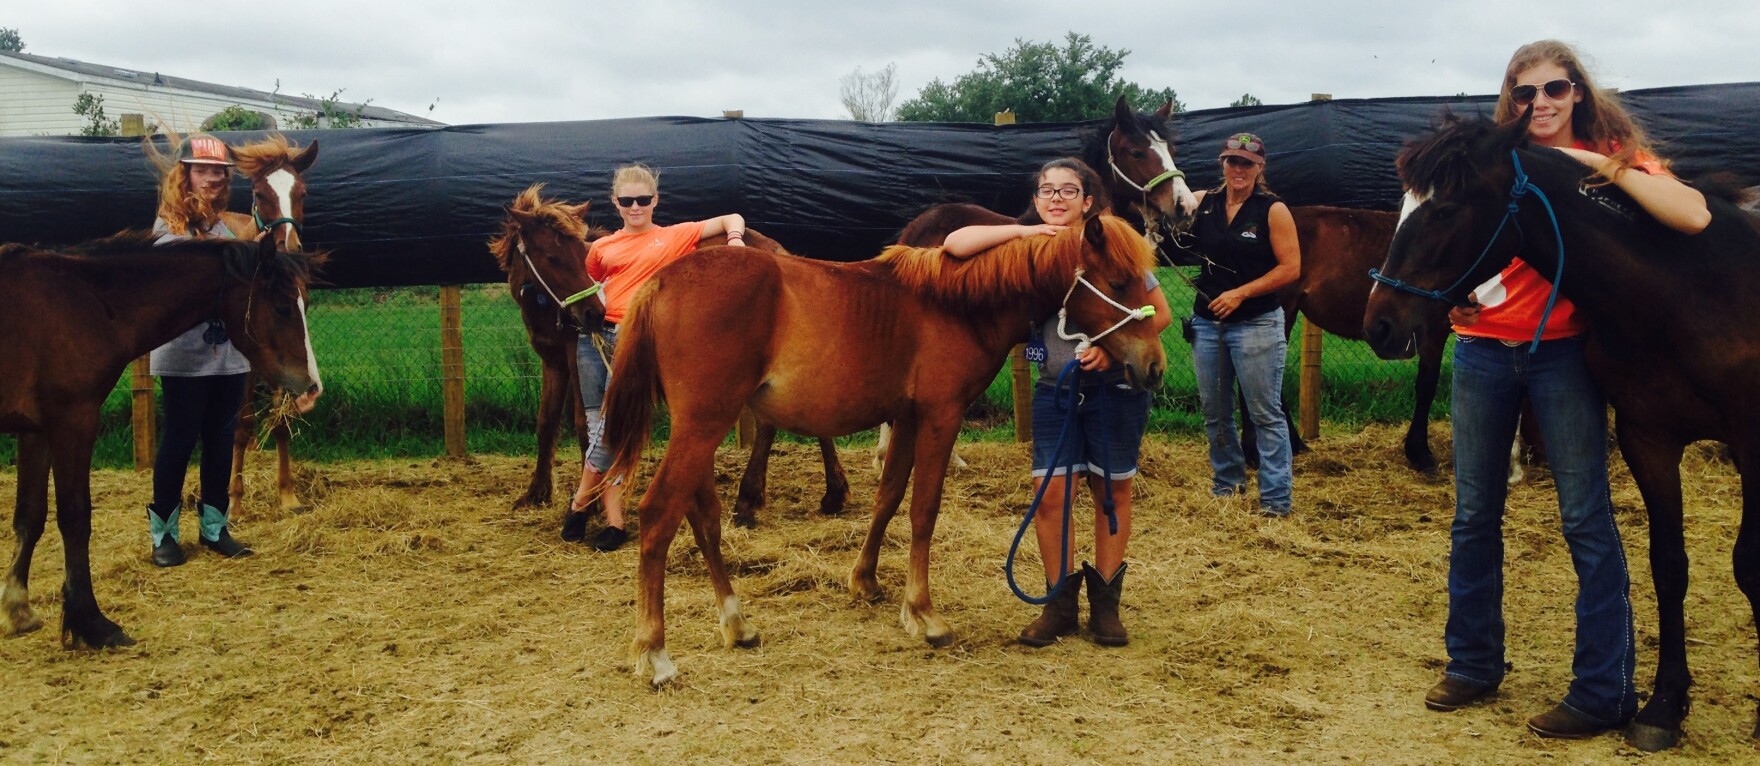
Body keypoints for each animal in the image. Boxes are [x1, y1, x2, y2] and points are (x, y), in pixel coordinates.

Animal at [1, 233, 324, 649]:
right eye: (283, 307)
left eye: (306, 303)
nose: (311, 387)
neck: (87, 301)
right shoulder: (73, 421)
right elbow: (74, 518)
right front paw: (92, 623)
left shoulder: (36, 431)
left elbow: (30, 515)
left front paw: (17, 608)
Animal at [224, 135, 320, 515]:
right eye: (259, 193)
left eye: (303, 191)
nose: (289, 244)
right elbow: (241, 425)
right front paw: (234, 501)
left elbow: (280, 422)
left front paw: (288, 495)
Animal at [489, 185, 848, 524]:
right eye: (552, 257)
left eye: (582, 254)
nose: (593, 313)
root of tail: (779, 253)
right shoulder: (552, 361)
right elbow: (546, 423)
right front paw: (536, 493)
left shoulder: (577, 358)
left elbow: (582, 426)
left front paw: (589, 503)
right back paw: (831, 495)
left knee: (769, 424)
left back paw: (748, 501)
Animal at [603, 215, 1166, 687]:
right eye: (1119, 282)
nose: (1155, 367)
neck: (956, 305)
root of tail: (661, 282)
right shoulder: (940, 416)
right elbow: (923, 509)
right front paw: (923, 613)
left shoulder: (907, 418)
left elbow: (888, 496)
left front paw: (866, 580)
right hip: (703, 426)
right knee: (659, 514)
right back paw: (655, 653)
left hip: (700, 429)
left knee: (703, 517)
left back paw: (737, 623)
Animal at [1363, 112, 1760, 751]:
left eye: (1445, 209)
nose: (1379, 324)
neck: (1685, 292)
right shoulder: (1649, 440)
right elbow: (1668, 566)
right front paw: (1662, 708)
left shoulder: (1752, 443)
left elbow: (1748, 566)